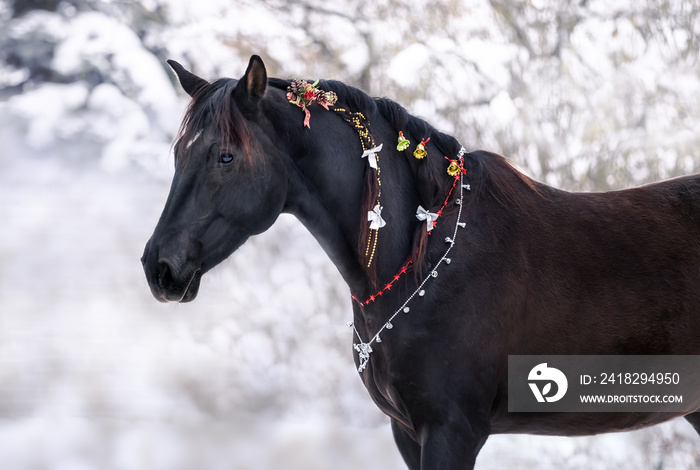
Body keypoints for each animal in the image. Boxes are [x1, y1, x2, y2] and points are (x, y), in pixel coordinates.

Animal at [144, 55, 700, 466]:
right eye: (177, 155)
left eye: (225, 156)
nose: (159, 269)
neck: (423, 251)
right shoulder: (407, 433)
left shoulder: (453, 432)